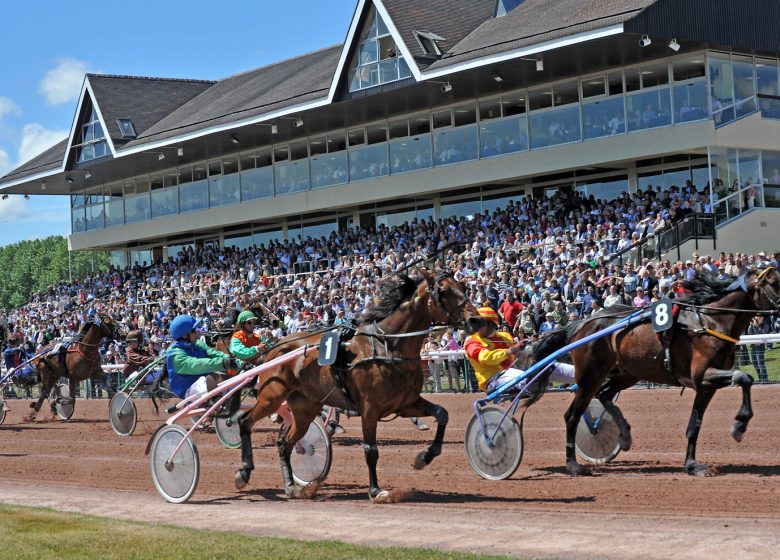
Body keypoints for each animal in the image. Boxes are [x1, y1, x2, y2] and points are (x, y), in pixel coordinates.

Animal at [232, 270, 482, 500]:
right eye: (444, 291)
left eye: (463, 286)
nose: (476, 320)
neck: (387, 345)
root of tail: (275, 347)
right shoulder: (369, 408)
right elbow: (370, 450)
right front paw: (376, 490)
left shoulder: (406, 404)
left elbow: (442, 414)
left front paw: (424, 457)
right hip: (272, 396)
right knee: (244, 421)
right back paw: (244, 471)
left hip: (305, 407)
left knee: (285, 443)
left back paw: (292, 487)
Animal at [536, 266, 780, 476]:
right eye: (774, 282)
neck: (710, 321)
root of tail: (581, 324)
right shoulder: (701, 375)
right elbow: (744, 377)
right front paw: (739, 425)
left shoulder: (705, 386)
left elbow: (694, 426)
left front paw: (692, 465)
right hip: (590, 376)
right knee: (572, 415)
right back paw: (573, 464)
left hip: (628, 373)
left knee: (604, 395)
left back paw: (624, 435)